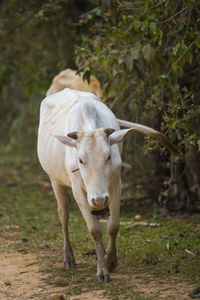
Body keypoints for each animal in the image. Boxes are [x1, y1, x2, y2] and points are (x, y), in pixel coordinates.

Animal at [37, 86, 177, 282]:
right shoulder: (78, 190)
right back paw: (68, 258)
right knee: (63, 214)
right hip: (54, 180)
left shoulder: (116, 184)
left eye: (109, 156)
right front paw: (102, 271)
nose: (99, 200)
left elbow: (113, 226)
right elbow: (95, 230)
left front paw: (110, 260)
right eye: (80, 160)